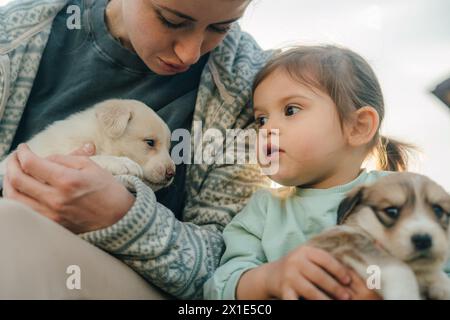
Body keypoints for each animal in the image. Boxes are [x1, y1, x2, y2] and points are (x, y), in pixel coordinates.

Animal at [0, 99, 175, 191]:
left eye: (169, 148)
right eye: (150, 142)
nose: (171, 173)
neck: (97, 136)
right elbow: (94, 158)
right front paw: (122, 162)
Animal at [308, 172, 450, 300]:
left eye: (438, 210)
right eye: (391, 211)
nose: (423, 240)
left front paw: (442, 283)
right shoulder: (345, 240)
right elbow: (399, 267)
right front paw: (406, 294)